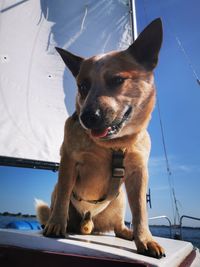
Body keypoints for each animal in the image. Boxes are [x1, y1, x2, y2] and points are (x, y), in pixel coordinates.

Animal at [36, 18, 166, 260]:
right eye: (82, 86)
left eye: (117, 79)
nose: (87, 117)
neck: (113, 145)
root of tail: (88, 223)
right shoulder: (69, 161)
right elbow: (63, 196)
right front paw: (56, 224)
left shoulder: (138, 172)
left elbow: (140, 211)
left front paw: (145, 240)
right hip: (56, 191)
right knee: (60, 200)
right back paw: (58, 224)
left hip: (120, 199)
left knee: (118, 225)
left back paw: (126, 232)